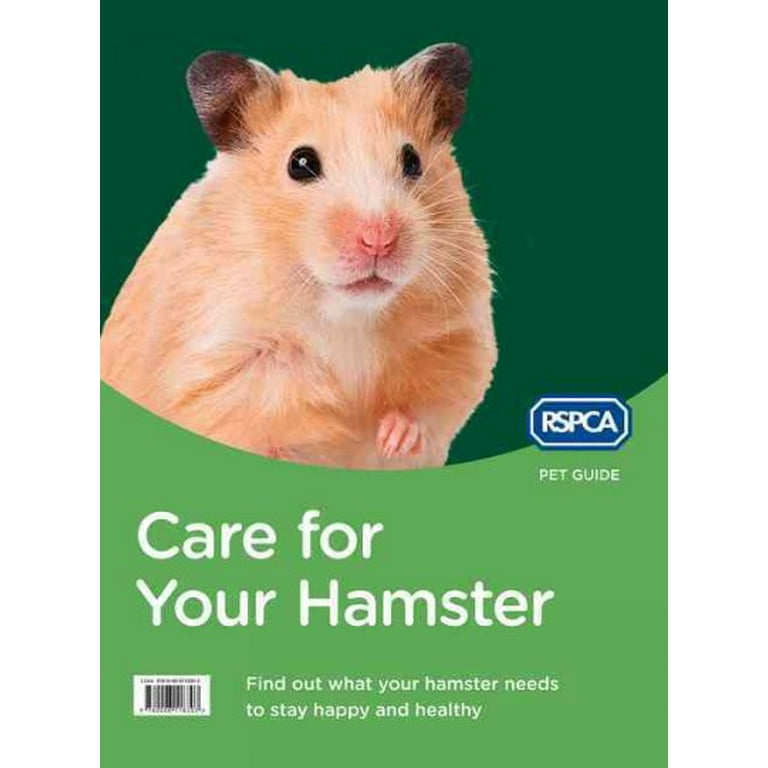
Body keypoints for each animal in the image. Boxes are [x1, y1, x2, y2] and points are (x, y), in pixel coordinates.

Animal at [101, 44, 497, 469]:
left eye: (413, 161)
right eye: (301, 163)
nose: (379, 239)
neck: (348, 315)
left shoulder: (458, 335)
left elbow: (437, 397)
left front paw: (394, 439)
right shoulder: (219, 367)